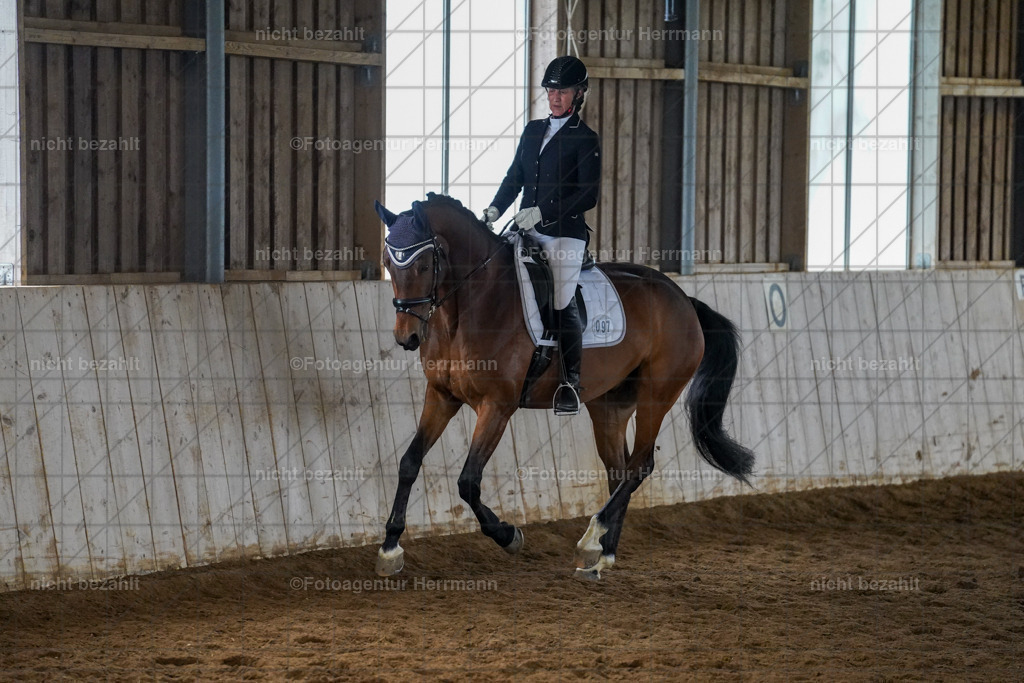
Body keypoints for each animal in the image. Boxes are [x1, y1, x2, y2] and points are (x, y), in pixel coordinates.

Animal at [373, 193, 754, 579]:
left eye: (423, 266)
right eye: (389, 264)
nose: (407, 338)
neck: (471, 305)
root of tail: (683, 299)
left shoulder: (496, 406)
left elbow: (468, 481)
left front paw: (509, 535)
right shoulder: (442, 396)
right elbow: (409, 462)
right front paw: (390, 548)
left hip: (656, 397)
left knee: (639, 466)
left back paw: (591, 538)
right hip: (610, 405)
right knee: (619, 469)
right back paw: (602, 556)